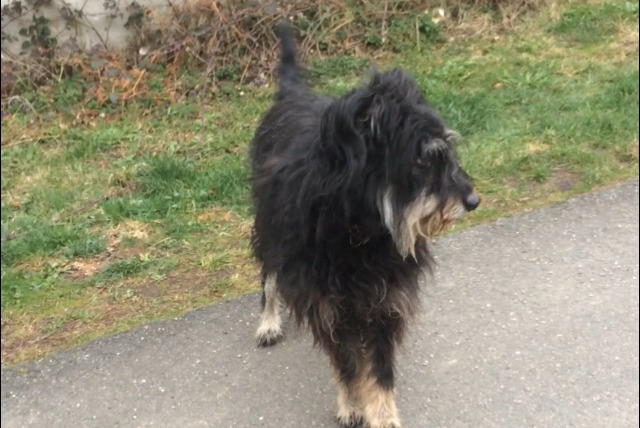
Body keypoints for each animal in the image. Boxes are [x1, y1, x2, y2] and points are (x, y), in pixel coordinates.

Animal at [250, 23, 480, 428]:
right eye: (422, 159)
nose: (473, 200)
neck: (360, 230)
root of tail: (291, 95)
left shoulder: (387, 300)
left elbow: (380, 369)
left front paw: (384, 415)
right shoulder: (325, 305)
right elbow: (347, 364)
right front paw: (352, 405)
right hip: (268, 230)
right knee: (269, 276)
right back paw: (268, 321)